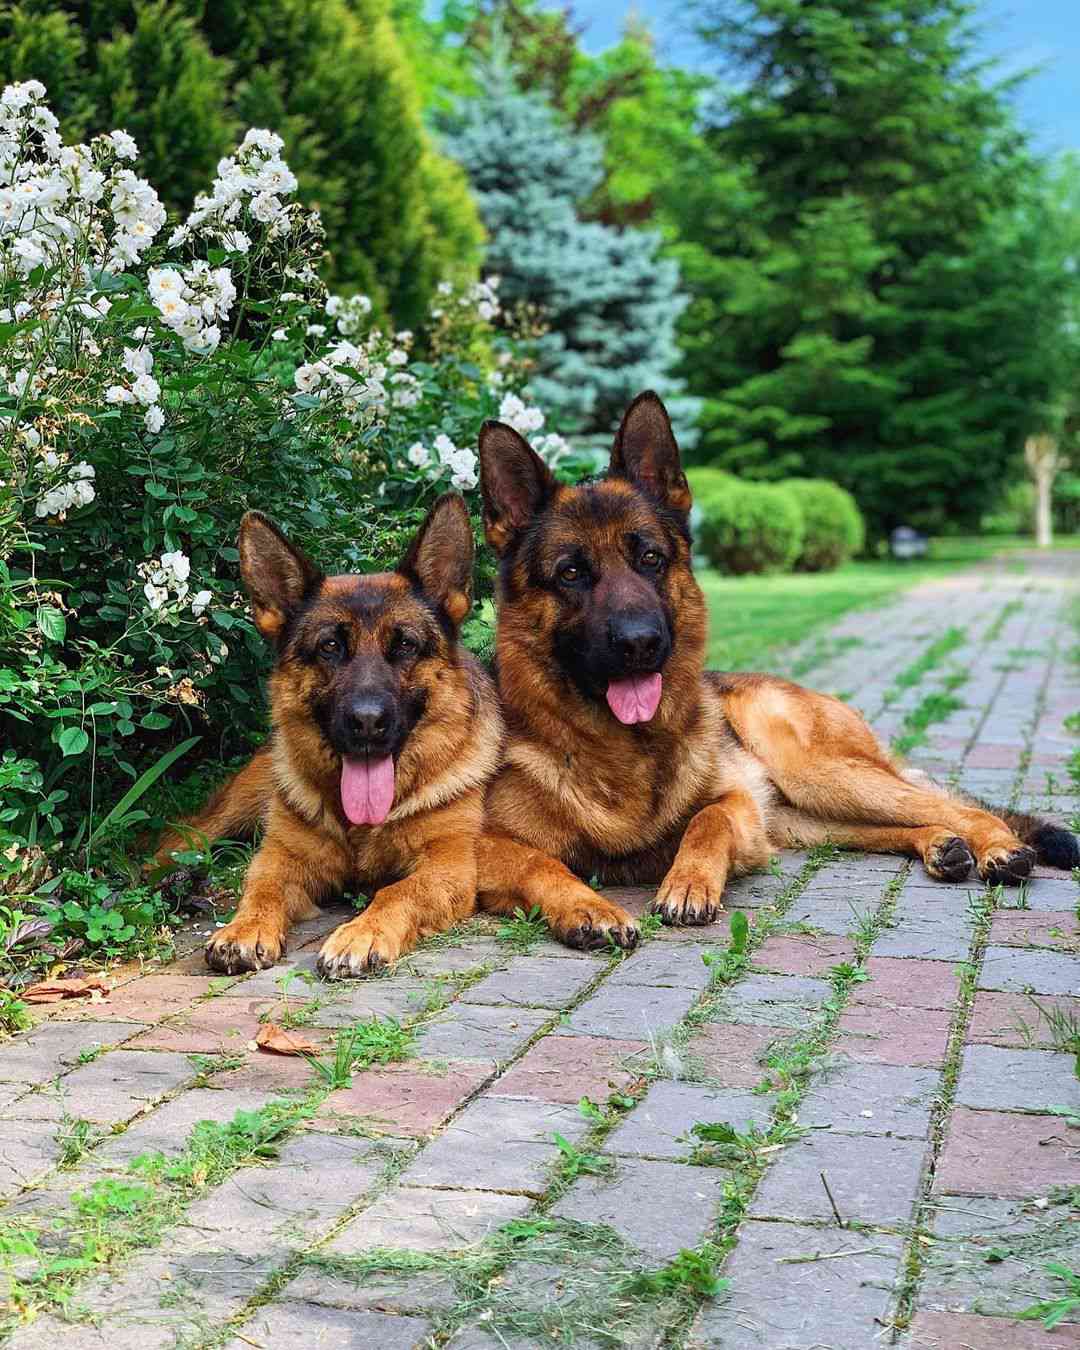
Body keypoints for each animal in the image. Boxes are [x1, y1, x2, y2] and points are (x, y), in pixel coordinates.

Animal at [155, 491, 502, 977]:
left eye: (405, 646)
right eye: (330, 647)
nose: (367, 722)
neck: (361, 828)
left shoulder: (447, 867)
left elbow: (396, 891)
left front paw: (362, 932)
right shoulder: (279, 857)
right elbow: (260, 888)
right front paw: (245, 928)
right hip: (228, 812)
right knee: (177, 838)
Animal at [472, 391, 1080, 950]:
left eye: (650, 559)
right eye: (571, 573)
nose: (642, 644)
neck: (622, 749)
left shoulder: (740, 807)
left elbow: (707, 820)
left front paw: (688, 884)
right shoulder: (480, 846)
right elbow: (539, 862)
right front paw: (587, 907)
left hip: (818, 774)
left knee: (956, 806)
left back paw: (998, 846)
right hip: (808, 816)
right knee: (894, 826)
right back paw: (939, 844)